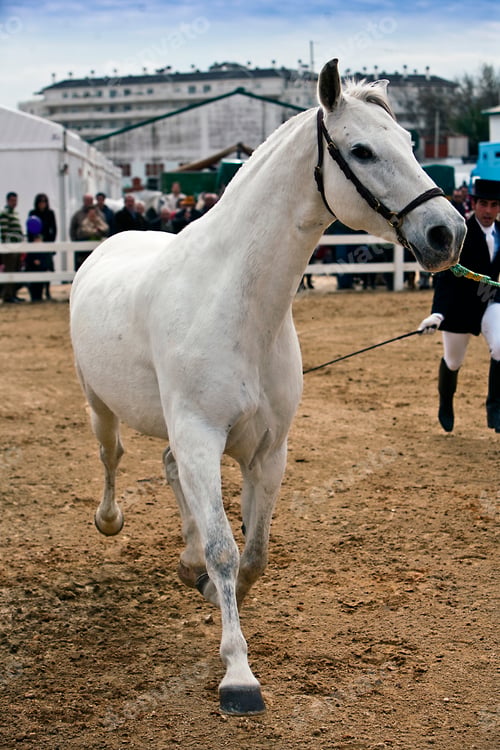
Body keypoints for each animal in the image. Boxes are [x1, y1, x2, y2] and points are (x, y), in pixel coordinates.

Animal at [69, 58, 466, 716]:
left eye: (412, 144)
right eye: (362, 150)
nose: (448, 233)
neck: (236, 302)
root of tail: (108, 243)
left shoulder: (268, 447)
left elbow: (253, 553)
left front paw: (207, 586)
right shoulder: (203, 436)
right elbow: (226, 549)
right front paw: (238, 676)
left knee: (169, 468)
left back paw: (185, 559)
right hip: (101, 405)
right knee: (111, 456)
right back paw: (110, 520)